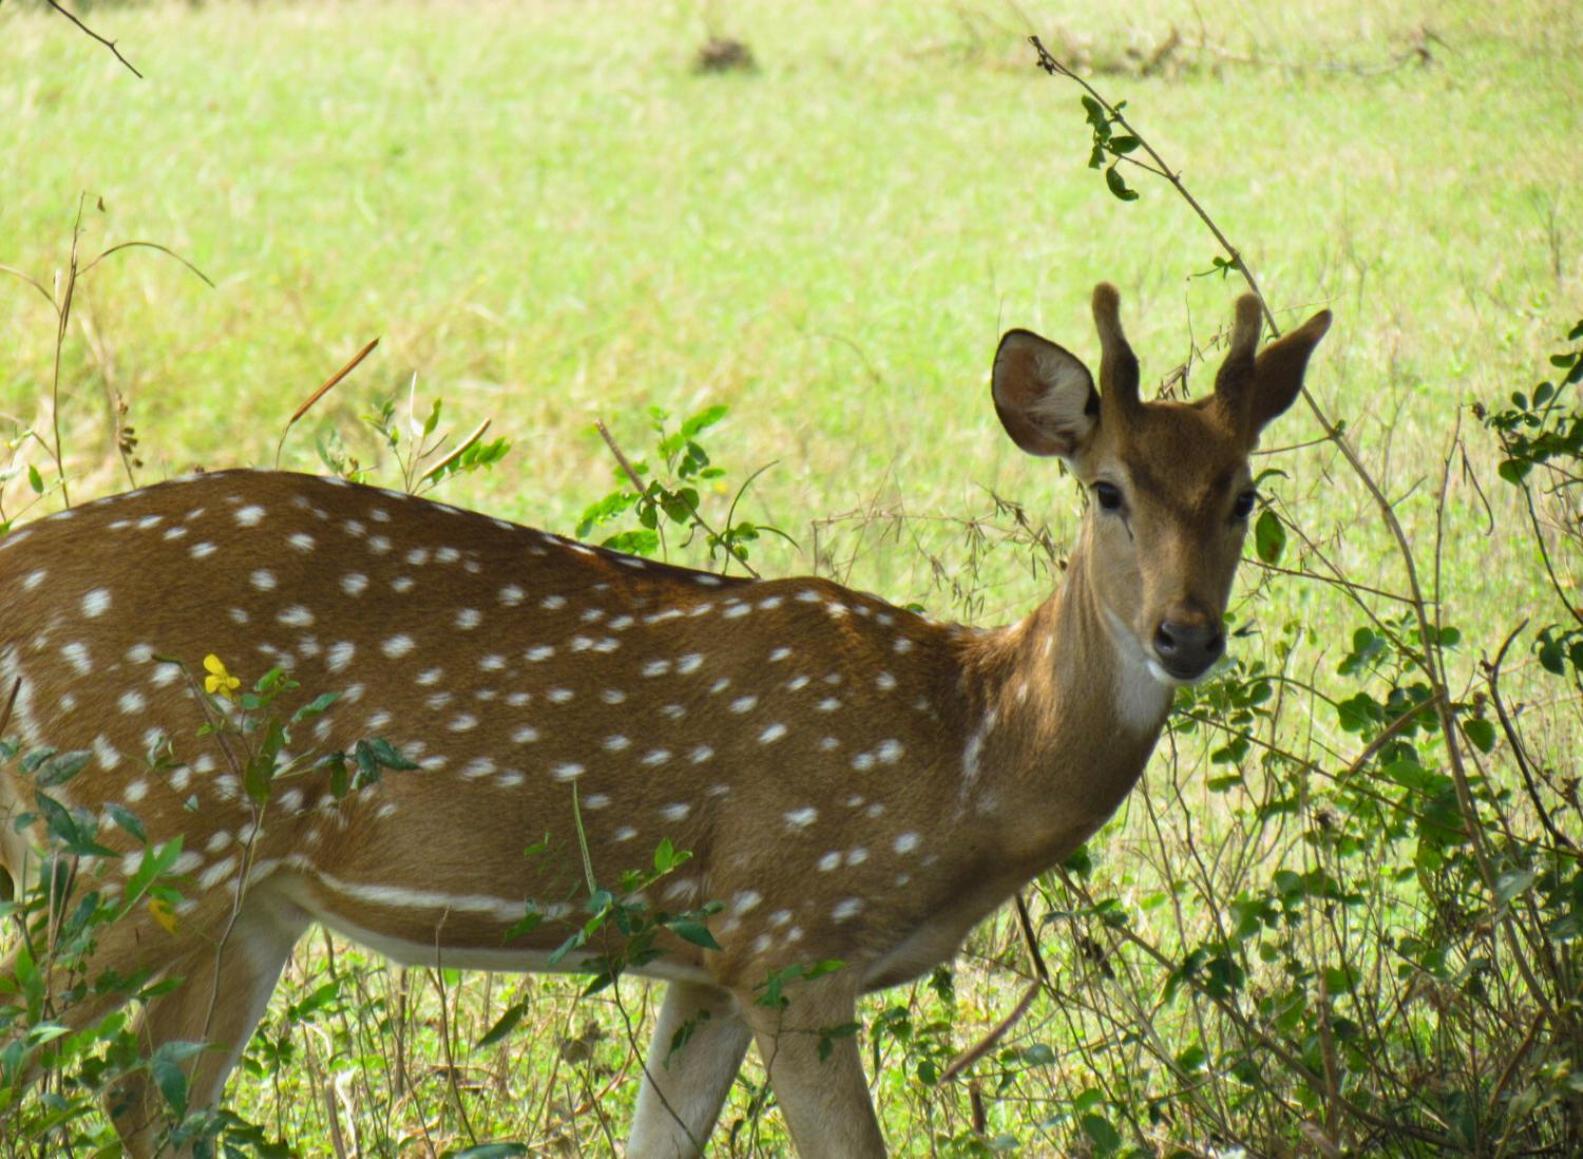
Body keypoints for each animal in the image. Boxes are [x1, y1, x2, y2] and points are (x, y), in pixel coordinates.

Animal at [0, 285, 1329, 1152]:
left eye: (1243, 492)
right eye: (1105, 490)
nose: (1184, 633)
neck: (964, 753)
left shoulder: (706, 964)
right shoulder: (795, 936)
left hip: (243, 897)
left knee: (153, 1101)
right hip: (136, 842)